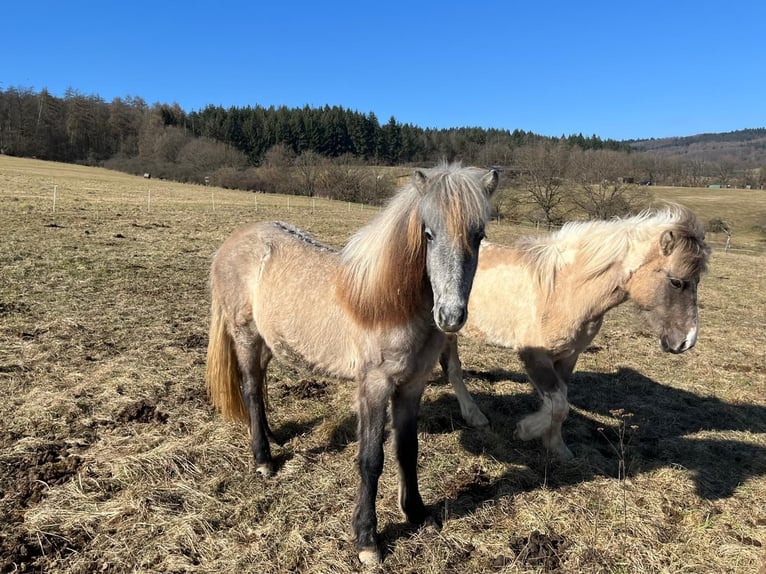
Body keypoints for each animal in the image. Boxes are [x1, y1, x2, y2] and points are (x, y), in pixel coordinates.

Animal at [207, 163, 500, 568]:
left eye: (478, 235)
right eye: (428, 233)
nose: (451, 316)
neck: (387, 303)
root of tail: (232, 243)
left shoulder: (412, 386)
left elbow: (407, 449)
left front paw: (417, 513)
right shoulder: (374, 386)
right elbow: (371, 459)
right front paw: (367, 541)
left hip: (269, 342)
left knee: (260, 389)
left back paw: (271, 436)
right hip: (247, 337)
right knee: (251, 389)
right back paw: (264, 460)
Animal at [444, 205, 712, 462]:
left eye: (698, 281)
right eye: (676, 282)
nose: (687, 341)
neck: (562, 290)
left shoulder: (568, 356)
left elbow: (560, 402)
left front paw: (557, 448)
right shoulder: (534, 356)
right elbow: (559, 404)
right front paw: (525, 430)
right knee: (454, 370)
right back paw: (475, 415)